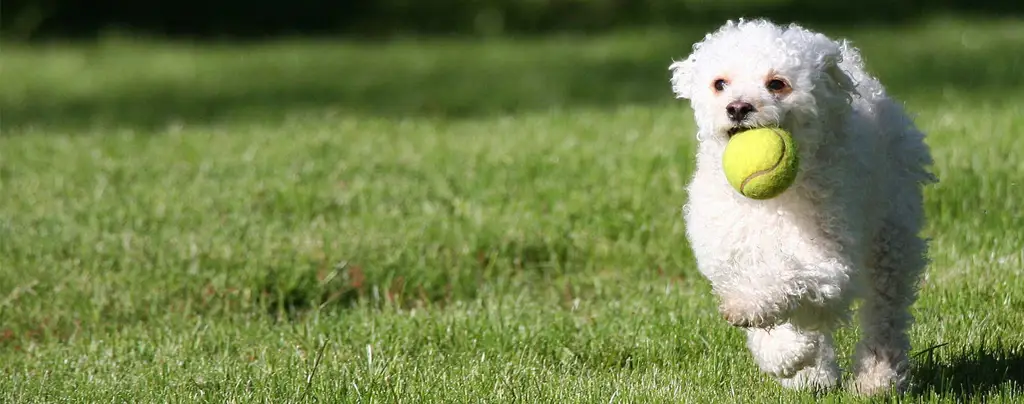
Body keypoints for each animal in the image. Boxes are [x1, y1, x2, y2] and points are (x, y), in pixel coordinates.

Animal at [667, 19, 937, 394]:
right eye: (720, 84)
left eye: (776, 84)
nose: (737, 107)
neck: (770, 204)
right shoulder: (730, 257)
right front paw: (791, 358)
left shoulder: (829, 263)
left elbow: (785, 282)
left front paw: (772, 333)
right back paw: (814, 374)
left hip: (891, 234)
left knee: (886, 310)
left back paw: (878, 378)